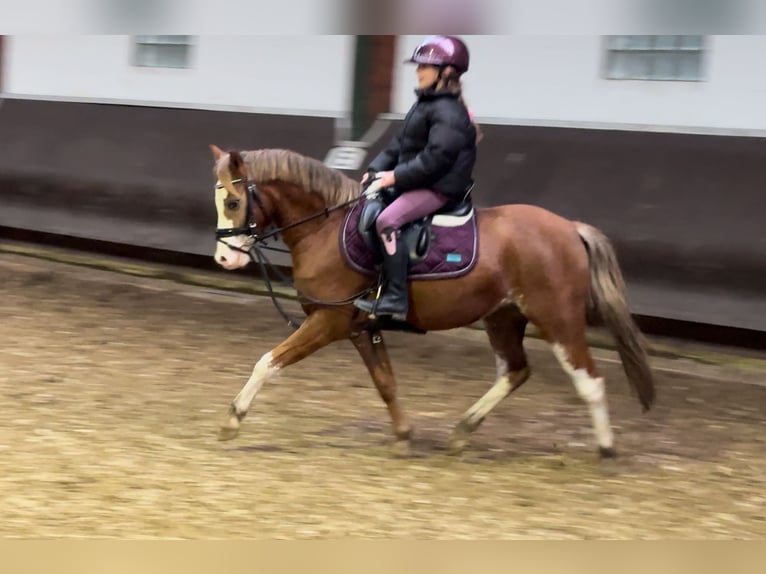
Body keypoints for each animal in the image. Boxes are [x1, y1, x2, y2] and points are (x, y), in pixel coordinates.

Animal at [207, 146, 656, 462]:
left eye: (233, 202)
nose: (225, 259)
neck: (325, 228)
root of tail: (569, 229)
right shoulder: (360, 328)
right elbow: (386, 383)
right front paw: (404, 437)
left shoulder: (328, 321)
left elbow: (267, 362)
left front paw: (232, 420)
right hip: (503, 317)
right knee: (515, 371)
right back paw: (462, 432)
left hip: (557, 319)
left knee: (589, 380)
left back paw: (606, 450)